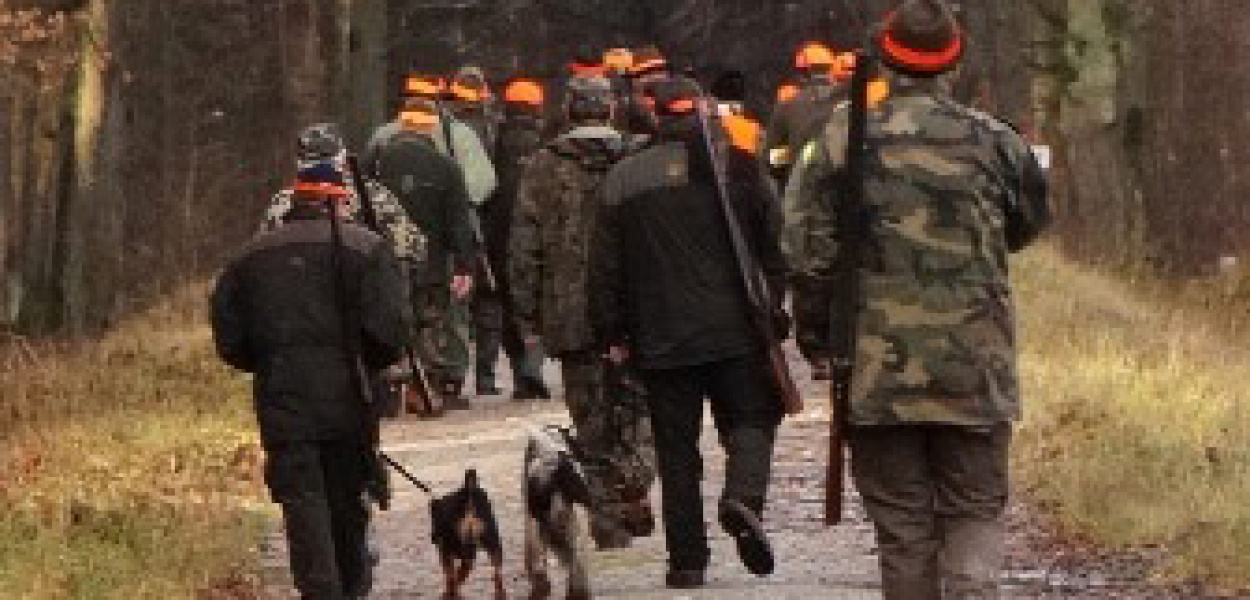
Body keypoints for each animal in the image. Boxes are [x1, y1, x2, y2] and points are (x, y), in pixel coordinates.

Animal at [430, 469, 506, 599]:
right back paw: (500, 594)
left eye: (433, 521)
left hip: (463, 547)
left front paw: (450, 594)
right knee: (497, 573)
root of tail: (469, 493)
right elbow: (456, 576)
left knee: (456, 575)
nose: (432, 538)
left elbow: (450, 575)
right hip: (491, 540)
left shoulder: (445, 552)